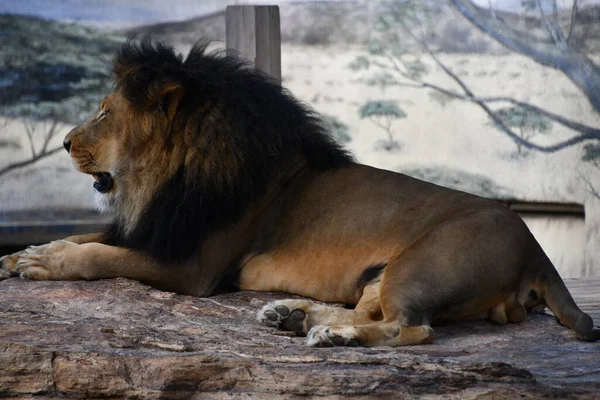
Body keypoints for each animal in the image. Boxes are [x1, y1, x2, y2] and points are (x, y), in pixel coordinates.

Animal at [0, 39, 596, 346]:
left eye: (104, 113)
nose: (64, 141)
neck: (172, 175)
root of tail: (537, 248)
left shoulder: (192, 267)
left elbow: (101, 255)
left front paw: (44, 260)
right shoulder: (161, 228)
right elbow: (91, 236)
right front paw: (19, 254)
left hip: (421, 263)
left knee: (411, 328)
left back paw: (333, 336)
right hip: (384, 274)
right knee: (371, 310)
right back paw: (297, 318)